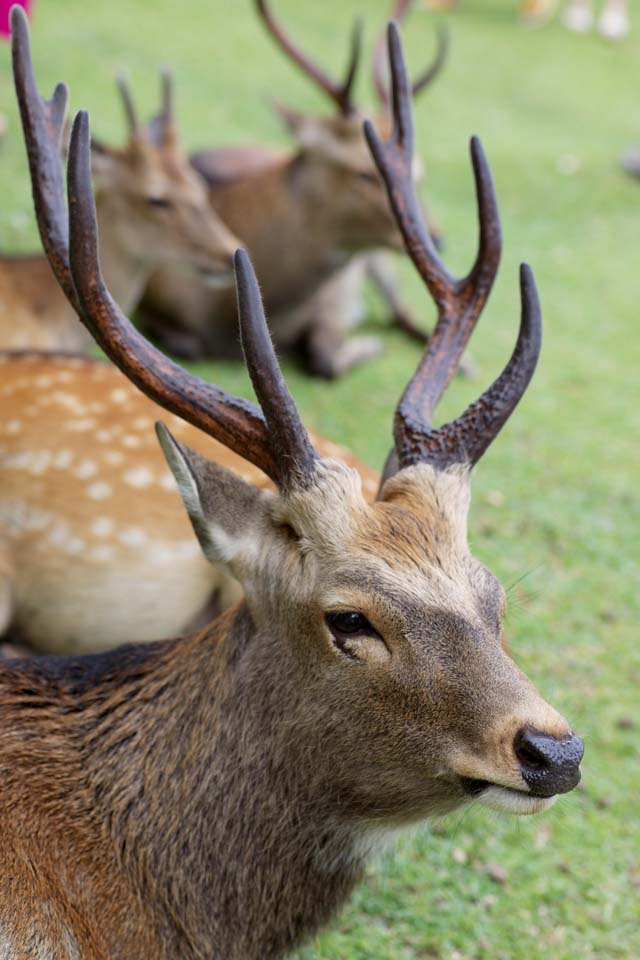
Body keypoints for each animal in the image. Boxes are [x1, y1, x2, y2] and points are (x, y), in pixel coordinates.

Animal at [140, 0, 450, 378]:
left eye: (420, 175)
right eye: (363, 172)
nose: (437, 239)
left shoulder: (332, 308)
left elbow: (325, 357)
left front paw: (369, 347)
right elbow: (188, 344)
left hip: (380, 261)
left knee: (403, 311)